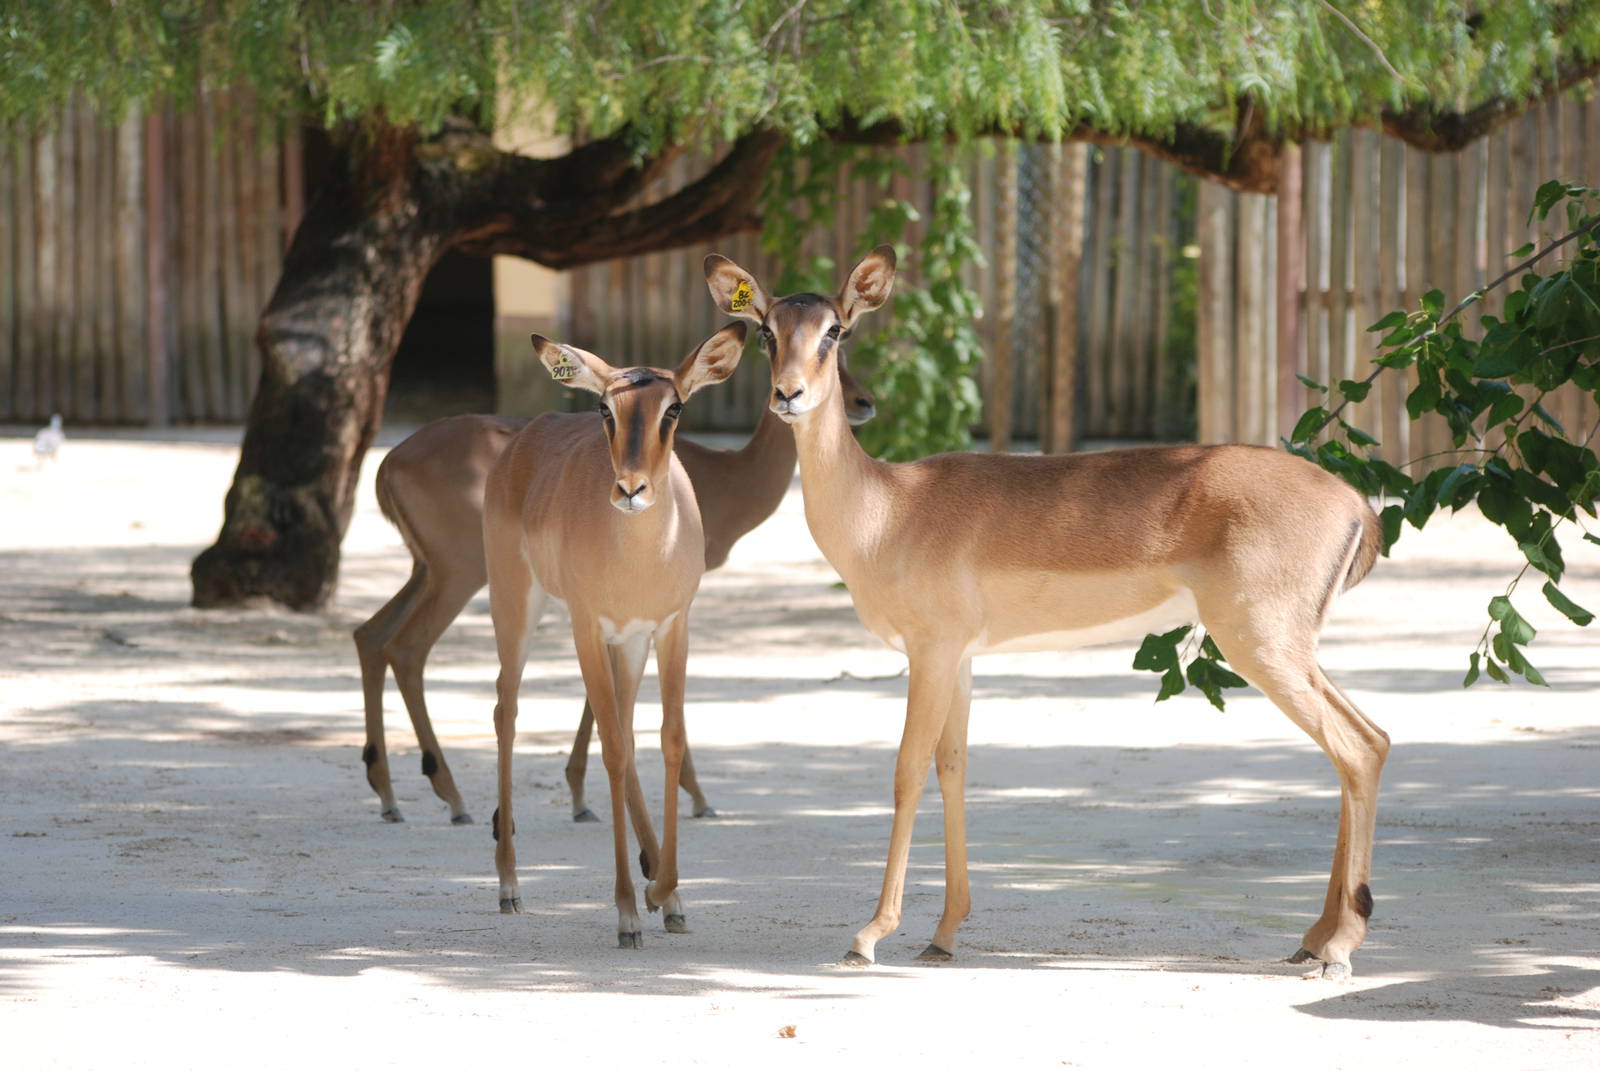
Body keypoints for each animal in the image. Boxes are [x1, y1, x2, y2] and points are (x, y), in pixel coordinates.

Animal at [353, 357, 877, 825]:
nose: (863, 402)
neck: (728, 479)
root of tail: (390, 461)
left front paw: (585, 794)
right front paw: (691, 796)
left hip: (427, 571)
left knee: (371, 634)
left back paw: (391, 795)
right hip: (461, 575)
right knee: (408, 647)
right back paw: (452, 799)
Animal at [482, 324, 744, 947]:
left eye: (674, 407)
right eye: (605, 407)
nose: (630, 489)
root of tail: (526, 437)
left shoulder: (671, 628)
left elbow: (668, 741)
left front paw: (666, 894)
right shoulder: (586, 626)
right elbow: (613, 751)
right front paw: (627, 910)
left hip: (627, 644)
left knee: (621, 726)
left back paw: (661, 890)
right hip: (516, 604)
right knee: (508, 708)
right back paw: (510, 885)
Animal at [703, 247, 1390, 980]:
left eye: (836, 330)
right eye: (768, 331)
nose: (789, 394)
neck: (888, 510)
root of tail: (1354, 502)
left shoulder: (931, 652)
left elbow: (906, 771)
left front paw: (868, 934)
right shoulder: (962, 659)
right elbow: (954, 768)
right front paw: (943, 932)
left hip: (1260, 645)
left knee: (1355, 749)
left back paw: (1339, 949)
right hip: (1290, 648)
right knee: (1369, 741)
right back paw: (1313, 937)